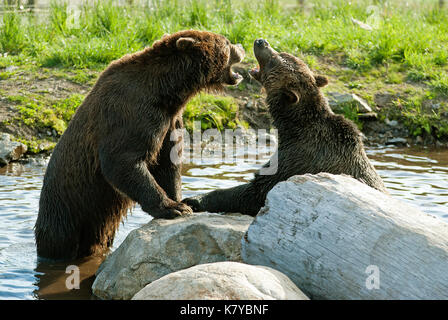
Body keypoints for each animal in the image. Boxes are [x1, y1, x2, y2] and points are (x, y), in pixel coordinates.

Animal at [34, 30, 245, 260]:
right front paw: (173, 208)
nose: (242, 46)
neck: (167, 91)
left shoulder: (170, 122)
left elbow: (168, 162)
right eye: (226, 42)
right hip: (68, 208)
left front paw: (181, 201)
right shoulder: (132, 114)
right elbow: (123, 161)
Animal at [182, 38, 384, 216]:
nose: (261, 41)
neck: (291, 126)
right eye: (283, 53)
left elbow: (255, 191)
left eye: (274, 60)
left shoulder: (299, 159)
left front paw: (194, 199)